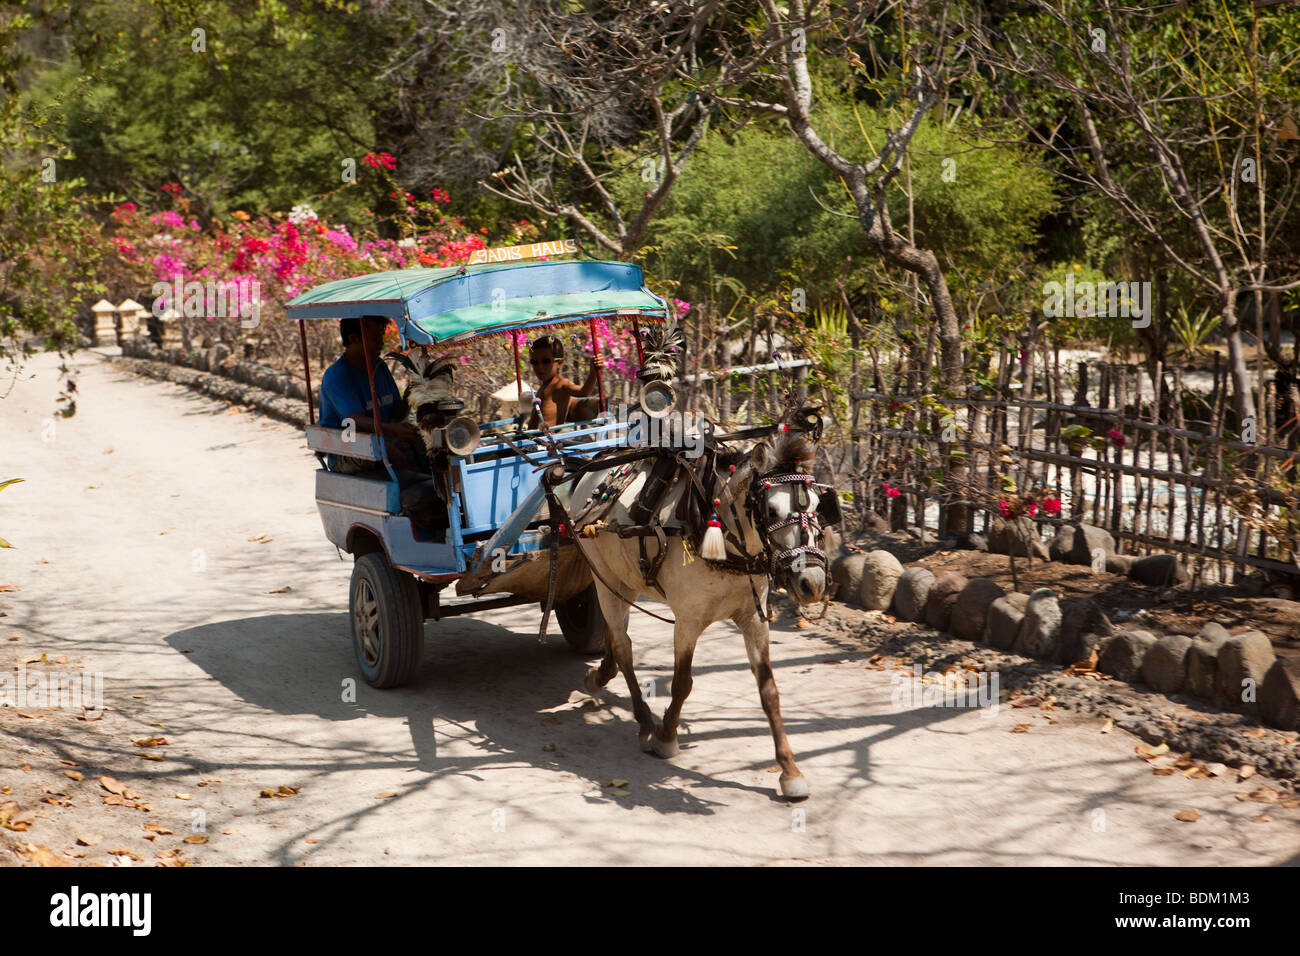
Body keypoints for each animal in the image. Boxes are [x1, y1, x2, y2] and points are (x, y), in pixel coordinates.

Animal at [561, 424, 832, 801]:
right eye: (771, 510)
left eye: (820, 505)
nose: (812, 582)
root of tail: (592, 468)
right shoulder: (688, 621)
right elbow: (681, 684)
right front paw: (666, 737)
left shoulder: (753, 620)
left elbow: (769, 693)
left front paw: (790, 771)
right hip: (603, 575)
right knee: (623, 645)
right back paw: (644, 722)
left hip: (623, 579)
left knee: (617, 637)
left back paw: (600, 676)